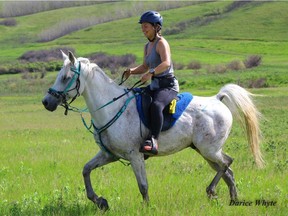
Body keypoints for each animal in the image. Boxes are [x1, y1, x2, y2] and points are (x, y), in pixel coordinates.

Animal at [41, 50, 264, 209]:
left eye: (65, 77)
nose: (46, 102)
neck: (111, 107)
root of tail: (217, 99)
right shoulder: (109, 155)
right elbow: (86, 170)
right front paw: (100, 201)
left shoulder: (135, 156)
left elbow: (143, 185)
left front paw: (146, 207)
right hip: (205, 152)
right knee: (228, 171)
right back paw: (233, 199)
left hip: (209, 150)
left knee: (227, 163)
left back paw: (211, 191)